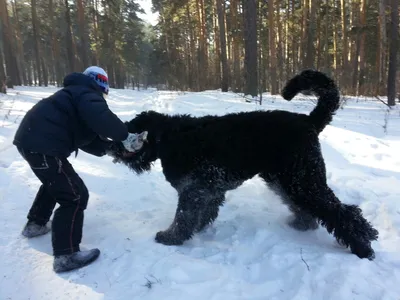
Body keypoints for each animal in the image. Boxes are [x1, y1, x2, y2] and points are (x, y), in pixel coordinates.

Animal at [108, 70, 378, 260]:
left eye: (130, 129)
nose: (112, 147)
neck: (169, 138)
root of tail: (309, 121)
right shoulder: (209, 191)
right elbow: (203, 214)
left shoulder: (193, 190)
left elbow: (183, 217)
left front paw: (170, 237)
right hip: (286, 180)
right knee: (310, 208)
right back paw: (303, 224)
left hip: (303, 180)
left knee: (343, 212)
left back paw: (363, 246)